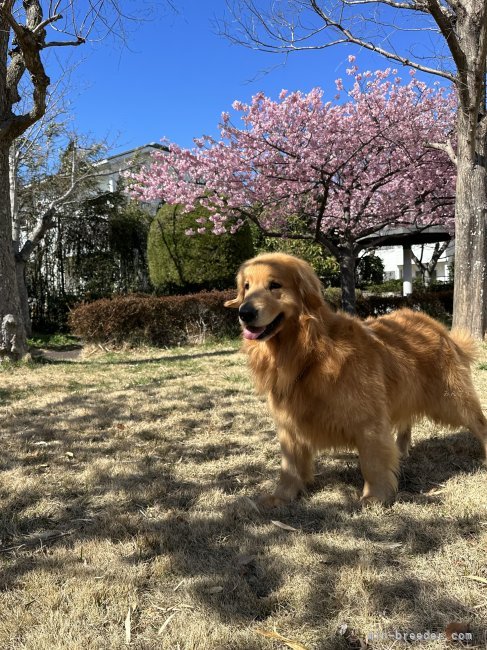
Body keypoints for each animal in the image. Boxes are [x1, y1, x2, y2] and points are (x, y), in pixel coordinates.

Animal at [226, 251, 487, 504]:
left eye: (274, 285)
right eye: (247, 286)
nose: (244, 313)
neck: (309, 352)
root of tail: (435, 325)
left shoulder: (368, 420)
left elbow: (372, 462)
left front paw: (375, 496)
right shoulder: (288, 423)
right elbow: (289, 466)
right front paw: (281, 496)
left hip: (450, 400)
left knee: (479, 423)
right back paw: (402, 450)